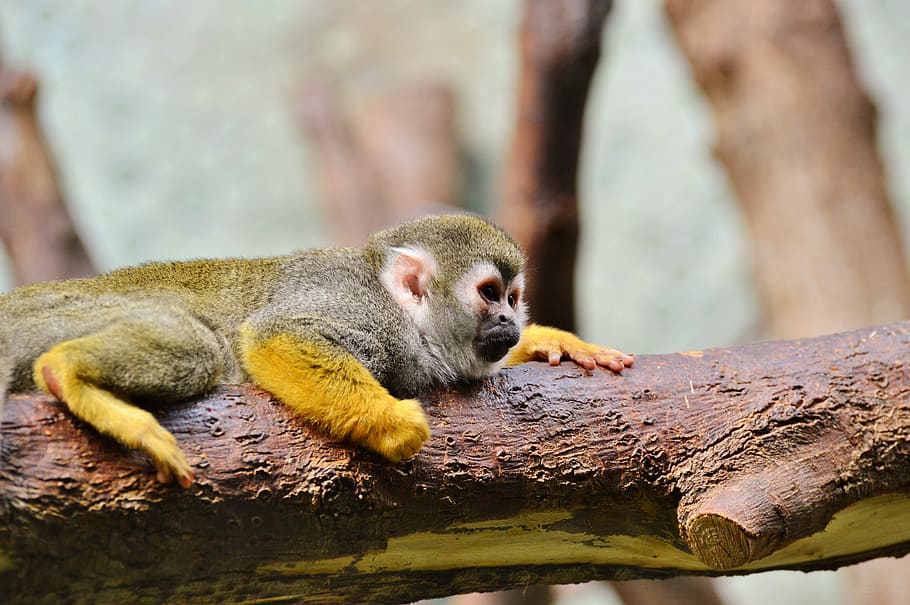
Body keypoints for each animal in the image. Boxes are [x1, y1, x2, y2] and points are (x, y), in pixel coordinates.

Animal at [0, 214, 633, 487]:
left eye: (515, 299)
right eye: (489, 294)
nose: (508, 322)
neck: (407, 318)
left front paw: (554, 342)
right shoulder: (359, 308)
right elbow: (278, 334)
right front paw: (396, 426)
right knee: (200, 346)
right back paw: (68, 373)